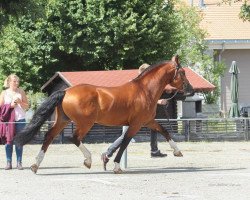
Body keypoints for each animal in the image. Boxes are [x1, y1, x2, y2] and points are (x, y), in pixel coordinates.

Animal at [14, 55, 193, 173]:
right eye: (182, 73)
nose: (190, 90)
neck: (144, 91)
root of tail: (65, 91)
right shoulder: (136, 124)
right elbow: (125, 142)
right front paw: (116, 166)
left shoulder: (148, 121)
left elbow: (164, 130)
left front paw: (177, 151)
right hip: (85, 123)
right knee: (74, 138)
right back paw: (88, 160)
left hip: (63, 120)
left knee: (49, 136)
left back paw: (35, 165)